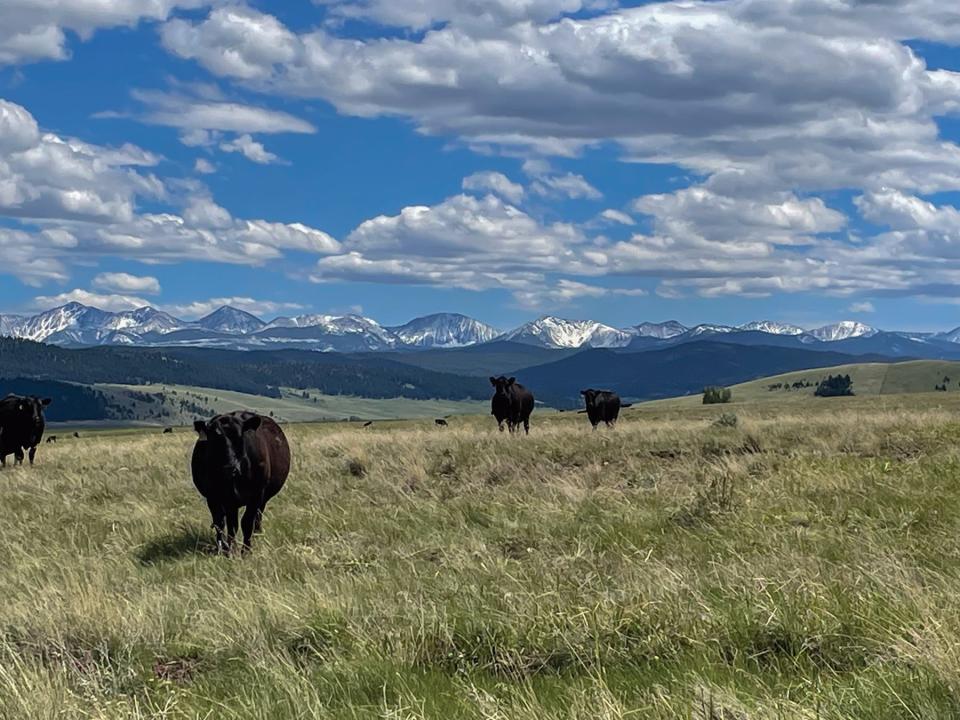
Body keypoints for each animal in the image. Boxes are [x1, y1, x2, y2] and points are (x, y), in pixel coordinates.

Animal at [190, 410, 288, 556]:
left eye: (240, 438)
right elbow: (225, 524)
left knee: (258, 516)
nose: (230, 467)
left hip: (263, 497)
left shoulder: (256, 494)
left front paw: (246, 550)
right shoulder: (216, 497)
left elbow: (246, 522)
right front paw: (227, 549)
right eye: (214, 439)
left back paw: (257, 535)